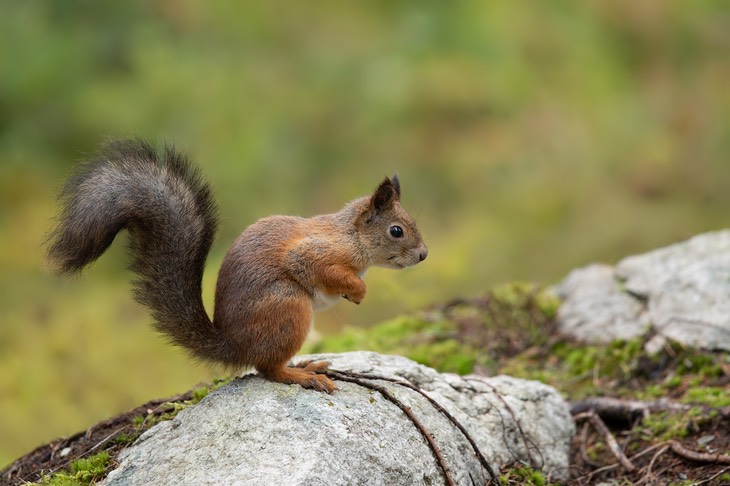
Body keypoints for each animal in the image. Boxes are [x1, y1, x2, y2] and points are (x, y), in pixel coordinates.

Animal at [47, 139, 426, 392]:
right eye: (396, 231)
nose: (423, 255)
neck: (351, 235)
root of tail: (234, 344)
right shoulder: (314, 254)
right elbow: (320, 269)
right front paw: (359, 291)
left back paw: (306, 363)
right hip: (289, 306)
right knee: (267, 369)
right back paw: (302, 375)